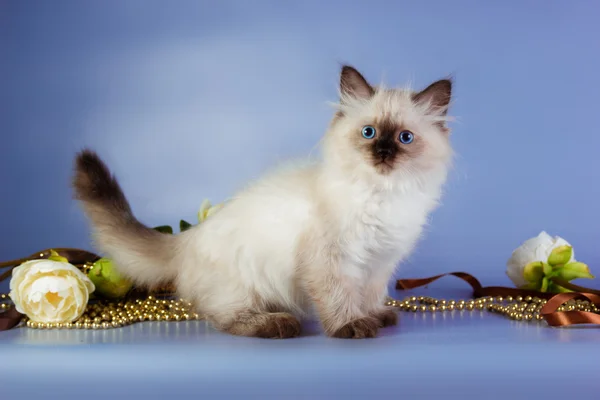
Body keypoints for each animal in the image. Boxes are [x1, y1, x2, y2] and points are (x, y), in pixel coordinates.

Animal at [72, 65, 452, 338]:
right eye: (369, 133)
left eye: (404, 138)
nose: (383, 153)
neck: (381, 195)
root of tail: (188, 239)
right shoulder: (330, 261)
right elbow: (339, 298)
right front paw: (352, 325)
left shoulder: (380, 262)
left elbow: (370, 295)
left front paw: (374, 316)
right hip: (244, 282)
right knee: (226, 318)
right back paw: (276, 323)